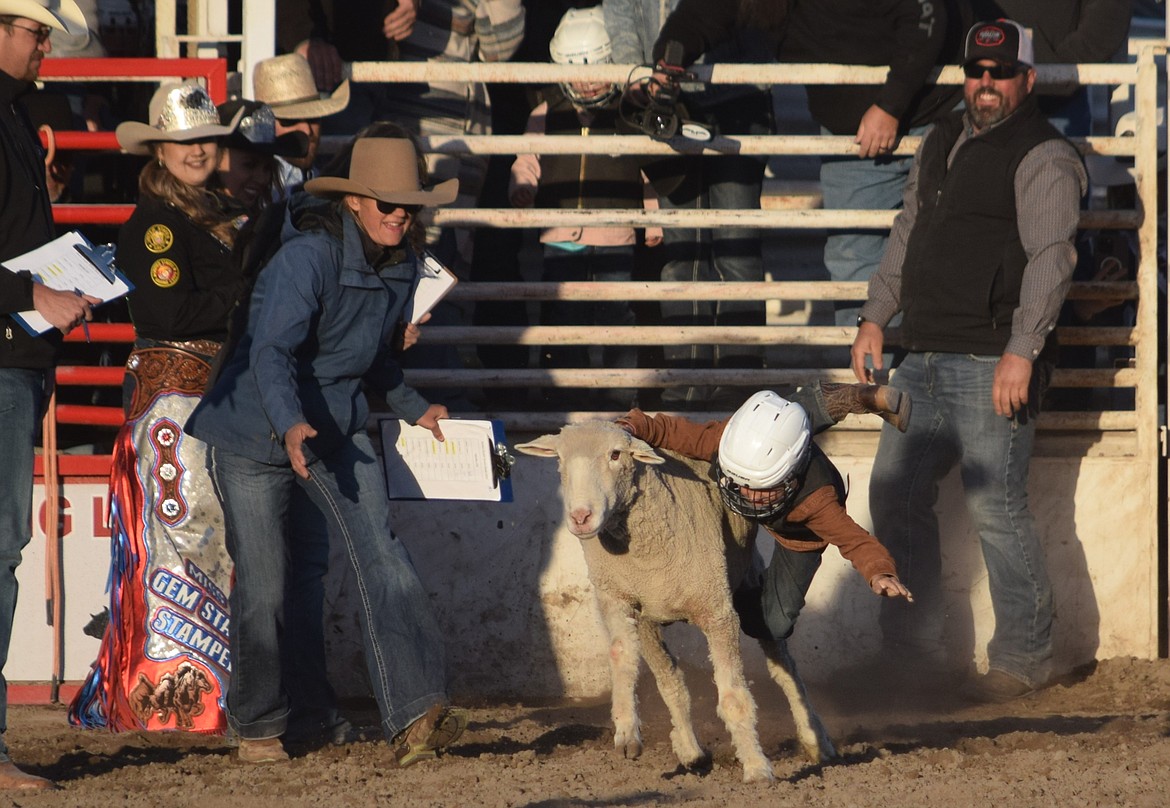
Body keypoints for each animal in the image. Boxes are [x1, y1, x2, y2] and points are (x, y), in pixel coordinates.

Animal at [517, 423, 837, 785]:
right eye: (559, 458)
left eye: (615, 454)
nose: (580, 517)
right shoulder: (619, 600)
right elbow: (625, 660)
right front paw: (627, 732)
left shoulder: (717, 612)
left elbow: (734, 698)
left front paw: (757, 768)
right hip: (650, 621)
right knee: (671, 681)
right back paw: (690, 749)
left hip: (748, 588)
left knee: (785, 669)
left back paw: (817, 741)